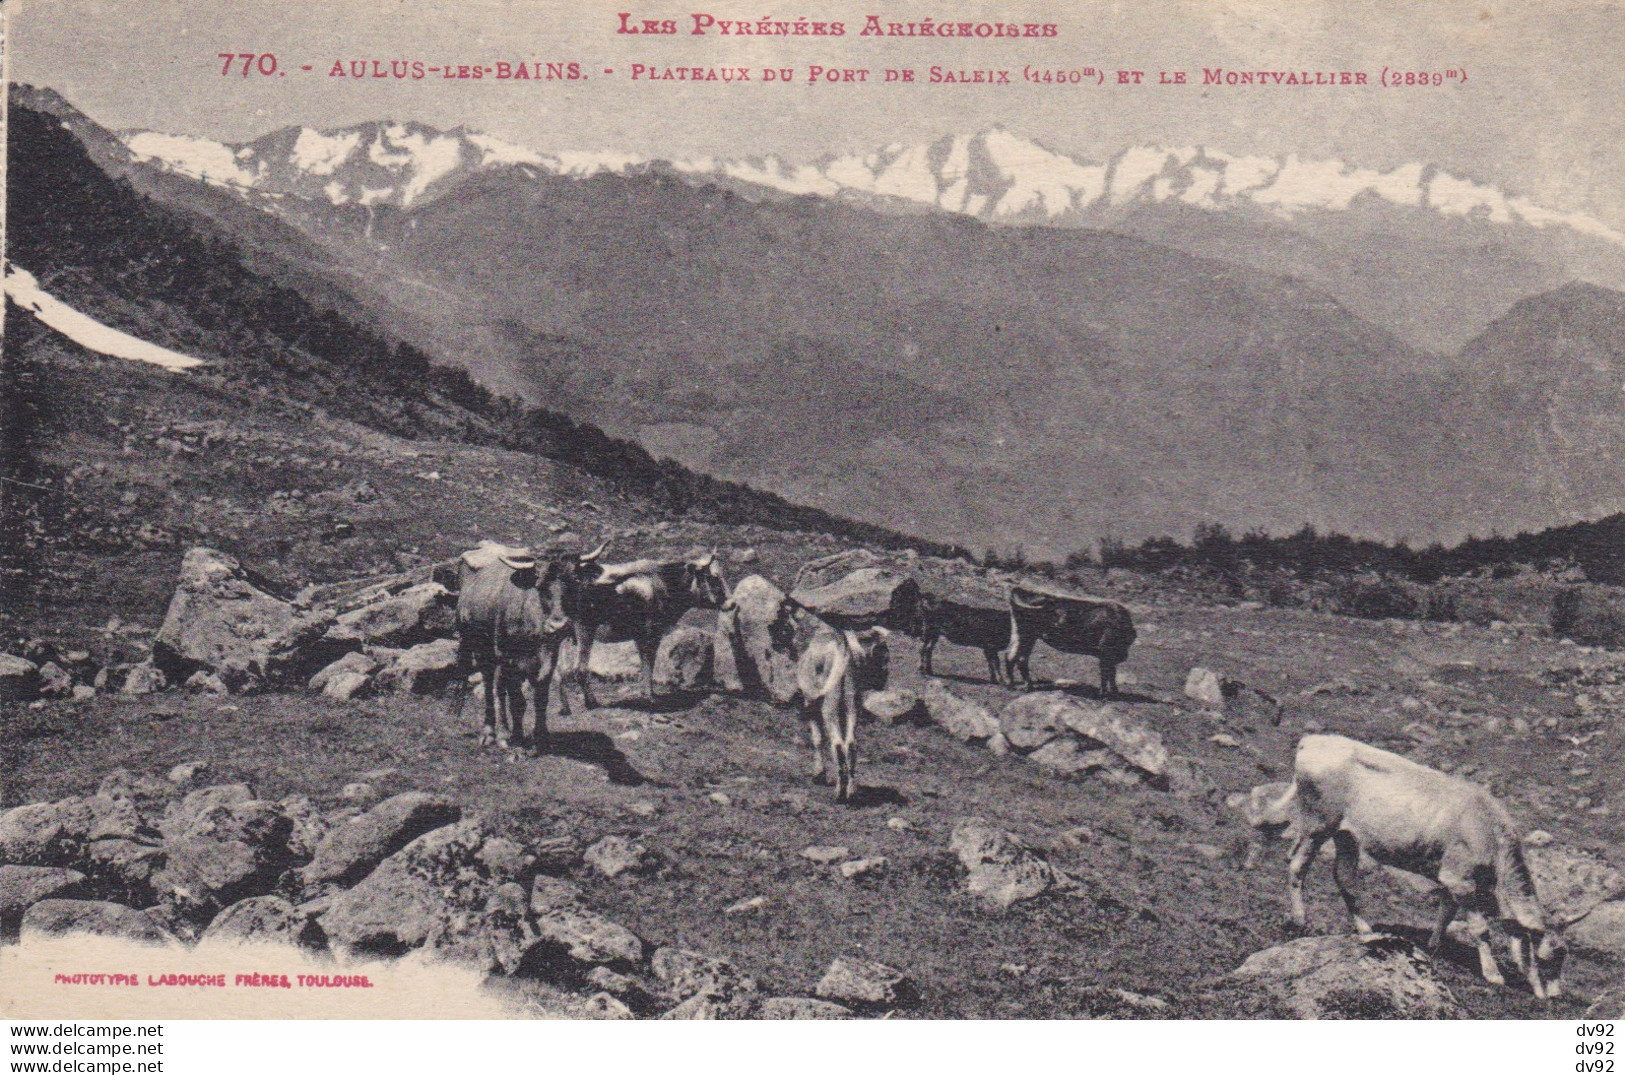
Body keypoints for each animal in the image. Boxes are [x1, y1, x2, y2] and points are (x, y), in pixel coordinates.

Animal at [448, 542, 607, 753]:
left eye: (574, 581)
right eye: (540, 585)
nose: (559, 626)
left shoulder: (548, 657)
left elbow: (540, 697)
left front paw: (540, 737)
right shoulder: (508, 659)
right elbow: (517, 701)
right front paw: (516, 737)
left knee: (499, 688)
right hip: (479, 647)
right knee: (491, 688)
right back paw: (491, 733)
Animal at [565, 552, 731, 711]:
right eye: (712, 577)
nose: (730, 602)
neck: (664, 584)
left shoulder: (640, 636)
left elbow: (644, 664)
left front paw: (645, 693)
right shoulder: (653, 634)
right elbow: (649, 664)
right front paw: (650, 697)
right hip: (585, 630)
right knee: (580, 670)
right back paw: (591, 702)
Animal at [796, 620, 897, 805]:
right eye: (884, 656)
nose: (883, 680)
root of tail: (843, 647)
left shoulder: (810, 701)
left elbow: (818, 739)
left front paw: (818, 775)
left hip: (829, 705)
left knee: (836, 744)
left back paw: (839, 793)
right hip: (852, 704)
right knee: (851, 743)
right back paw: (850, 791)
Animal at [994, 591, 1137, 698]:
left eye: (1128, 642)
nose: (1124, 657)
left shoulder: (1107, 656)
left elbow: (1111, 673)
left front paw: (1114, 692)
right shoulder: (1105, 653)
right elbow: (1107, 673)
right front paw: (1105, 693)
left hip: (1026, 636)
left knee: (1019, 657)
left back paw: (1027, 686)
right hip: (1026, 635)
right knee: (1013, 656)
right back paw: (1012, 685)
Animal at [1241, 733, 1560, 1000]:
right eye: (1546, 959)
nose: (1553, 998)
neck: (1490, 831)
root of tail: (1312, 740)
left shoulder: (1451, 880)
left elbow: (1446, 913)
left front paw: (1433, 945)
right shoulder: (1459, 878)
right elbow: (1480, 929)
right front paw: (1493, 975)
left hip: (1346, 835)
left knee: (1345, 879)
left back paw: (1366, 930)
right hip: (1317, 824)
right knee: (1297, 866)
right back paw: (1299, 919)